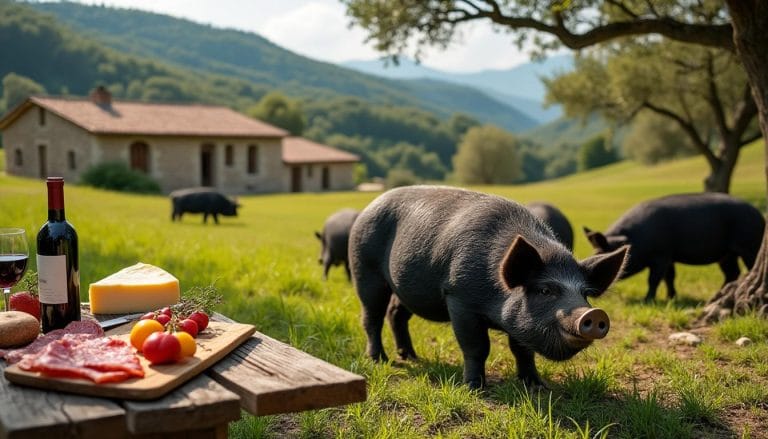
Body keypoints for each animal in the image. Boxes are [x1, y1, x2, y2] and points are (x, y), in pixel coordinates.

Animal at [348, 186, 628, 389]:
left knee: (396, 313)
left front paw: (537, 386)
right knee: (372, 316)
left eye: (585, 294)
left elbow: (523, 351)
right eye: (545, 290)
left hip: (407, 289)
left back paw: (411, 356)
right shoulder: (458, 297)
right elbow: (477, 346)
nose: (594, 313)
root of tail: (368, 207)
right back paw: (380, 360)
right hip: (366, 268)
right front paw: (475, 387)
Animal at [584, 192, 765, 302]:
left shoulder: (661, 256)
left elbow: (654, 279)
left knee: (747, 267)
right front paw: (671, 298)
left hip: (749, 245)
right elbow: (669, 277)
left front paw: (647, 300)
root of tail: (760, 216)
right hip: (726, 254)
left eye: (601, 251)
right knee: (732, 272)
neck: (636, 239)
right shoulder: (669, 257)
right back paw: (716, 296)